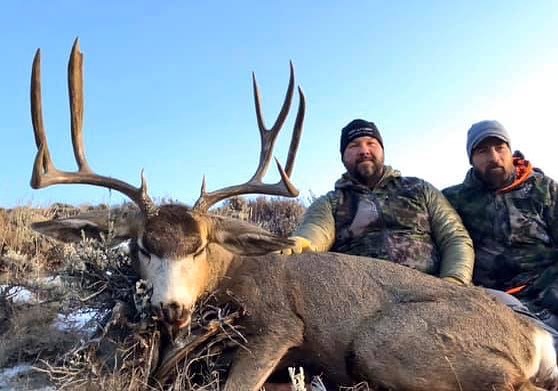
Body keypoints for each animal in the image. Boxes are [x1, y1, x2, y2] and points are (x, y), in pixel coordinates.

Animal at [30, 40, 558, 391]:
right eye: (141, 245)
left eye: (200, 246)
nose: (170, 308)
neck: (231, 273)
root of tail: (535, 337)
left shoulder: (279, 325)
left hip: (384, 342)